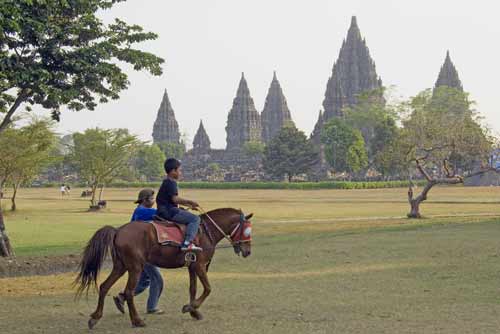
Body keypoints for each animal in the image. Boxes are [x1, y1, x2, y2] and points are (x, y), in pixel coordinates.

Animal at [73, 209, 254, 328]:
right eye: (247, 231)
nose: (248, 251)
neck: (205, 231)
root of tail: (118, 230)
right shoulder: (200, 266)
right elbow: (208, 289)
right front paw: (190, 307)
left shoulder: (192, 267)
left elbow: (193, 289)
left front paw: (193, 311)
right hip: (135, 268)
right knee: (129, 292)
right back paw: (137, 320)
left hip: (120, 266)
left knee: (104, 286)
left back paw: (96, 317)